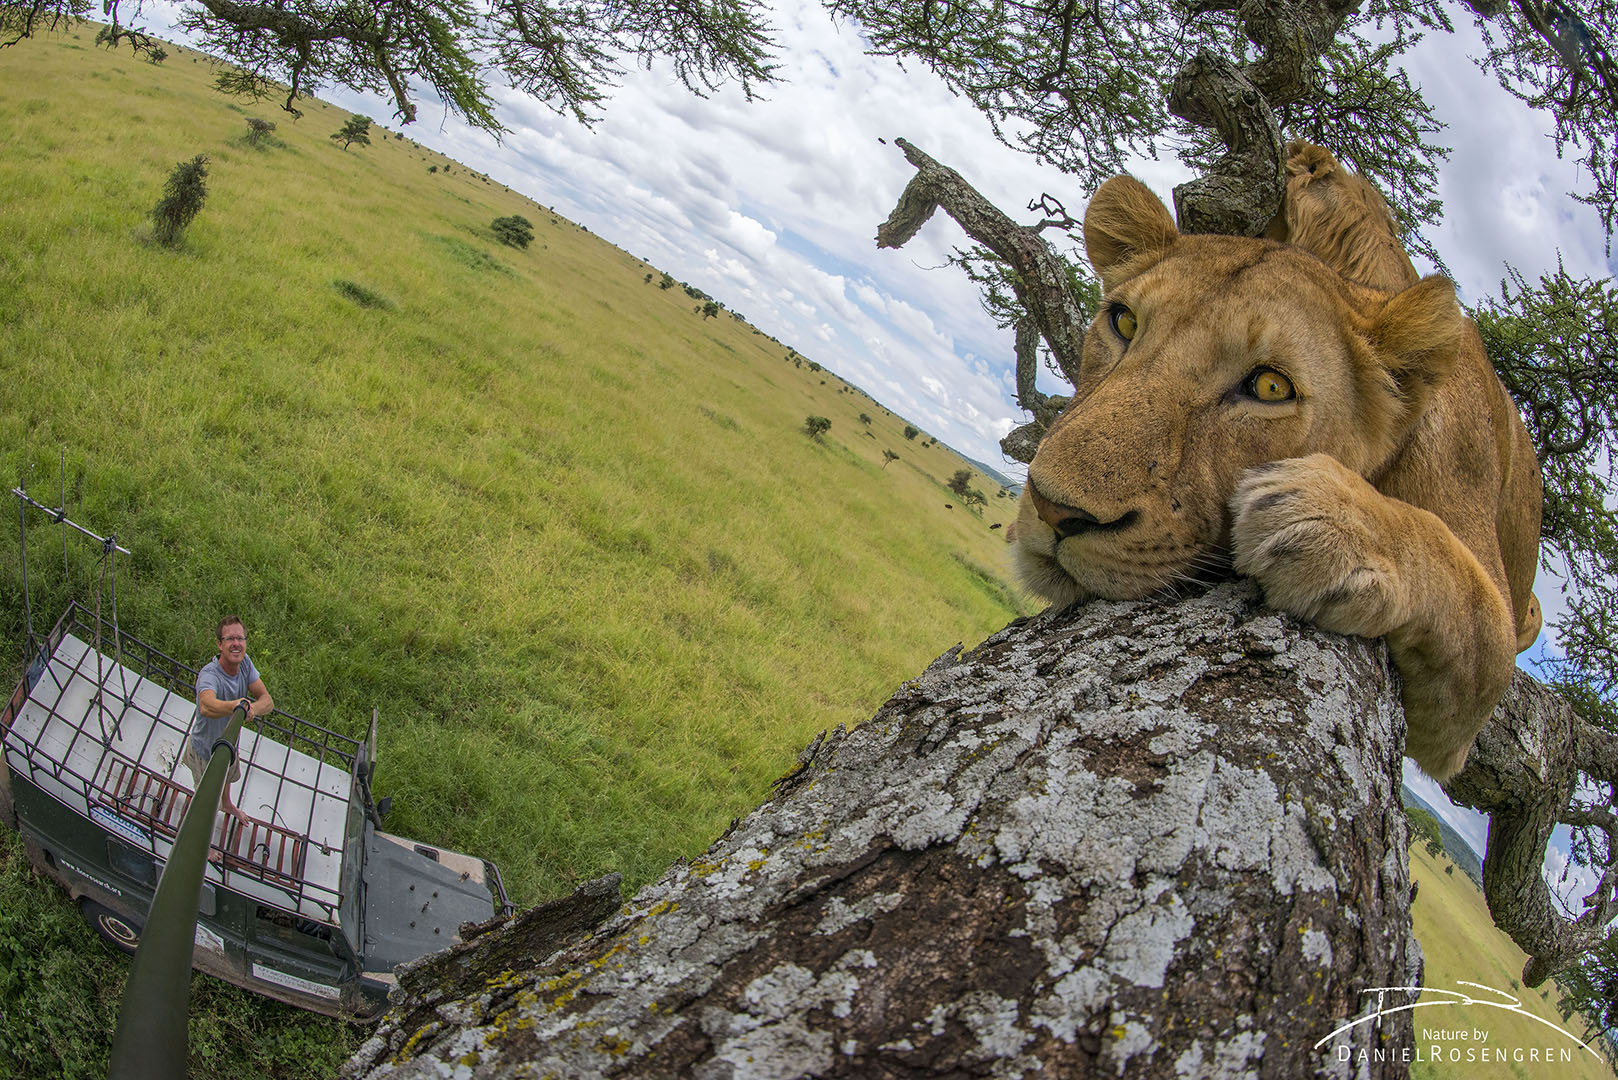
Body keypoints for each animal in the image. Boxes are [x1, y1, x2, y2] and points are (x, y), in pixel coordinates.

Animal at [1009, 148, 1540, 780]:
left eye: (1269, 387)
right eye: (1124, 322)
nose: (1052, 508)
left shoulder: (1461, 713)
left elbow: (1461, 583)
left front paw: (1324, 524)